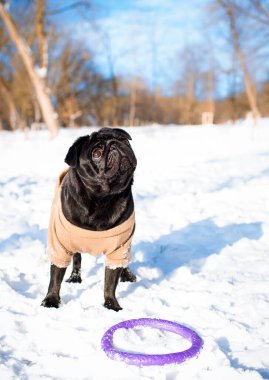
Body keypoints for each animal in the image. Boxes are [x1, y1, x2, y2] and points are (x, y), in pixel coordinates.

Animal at [41, 127, 136, 312]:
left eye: (124, 140)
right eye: (96, 154)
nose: (114, 144)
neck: (102, 199)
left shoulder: (118, 248)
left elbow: (110, 280)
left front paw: (111, 304)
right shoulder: (60, 246)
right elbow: (55, 276)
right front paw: (51, 300)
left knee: (125, 261)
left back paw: (127, 275)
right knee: (77, 258)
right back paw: (74, 277)